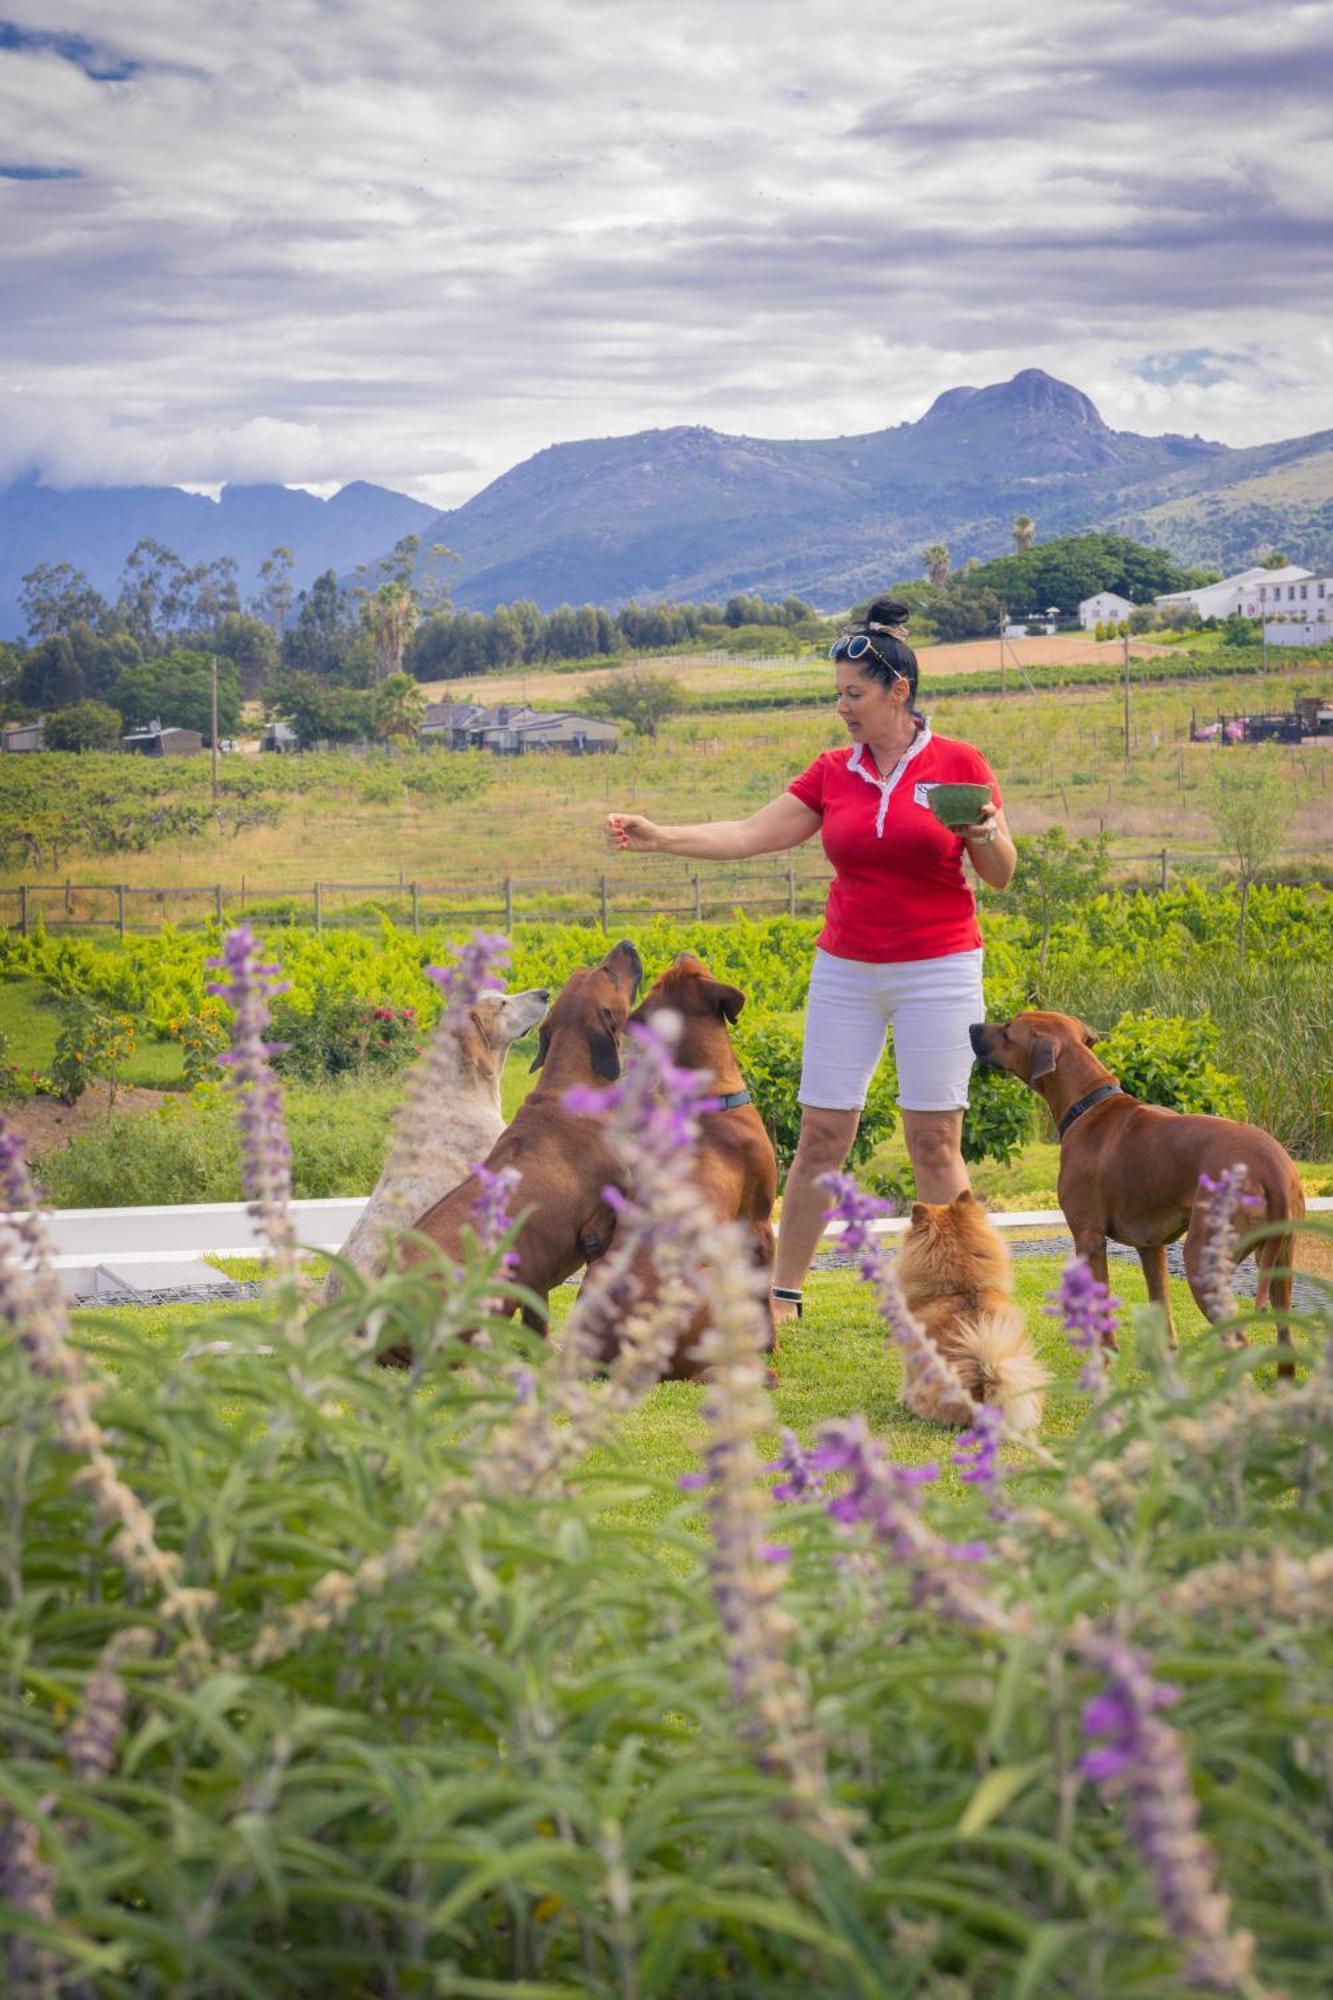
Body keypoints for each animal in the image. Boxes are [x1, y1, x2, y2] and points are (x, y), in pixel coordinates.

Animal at [964, 1016, 1296, 1360]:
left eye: (1007, 1028)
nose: (972, 1026)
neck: (1088, 1103)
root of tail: (1273, 1169)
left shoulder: (1089, 1238)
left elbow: (1099, 1304)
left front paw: (1105, 1353)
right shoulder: (1151, 1246)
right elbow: (1161, 1303)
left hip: (1204, 1261)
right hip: (1280, 1261)